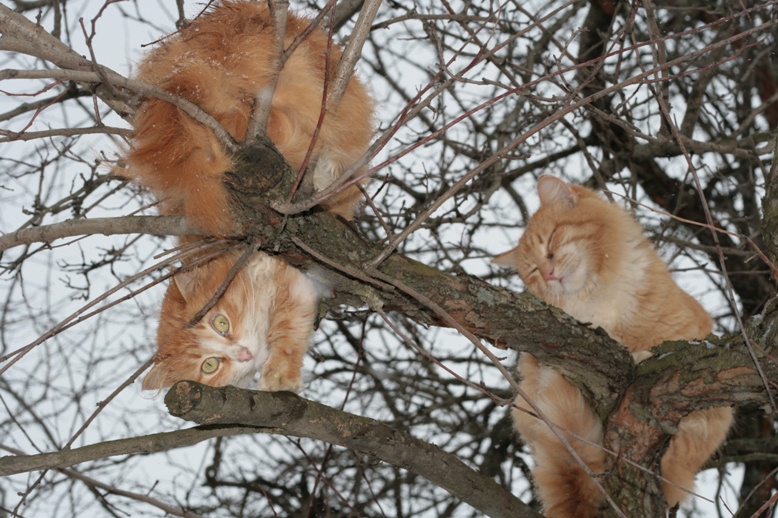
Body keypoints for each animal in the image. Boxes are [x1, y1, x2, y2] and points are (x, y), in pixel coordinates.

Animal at [124, 1, 372, 394]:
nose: (242, 355)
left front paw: (280, 376)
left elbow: (288, 326)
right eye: (210, 365)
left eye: (220, 322)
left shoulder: (287, 273)